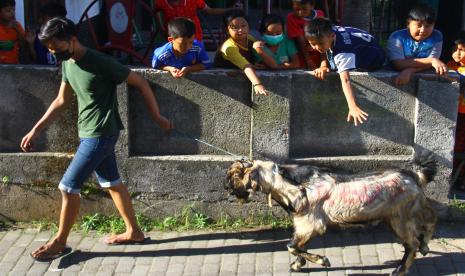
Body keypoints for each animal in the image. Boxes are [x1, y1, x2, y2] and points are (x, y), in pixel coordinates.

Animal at [225, 158, 436, 274]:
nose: (226, 188)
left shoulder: (312, 224)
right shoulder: (303, 226)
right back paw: (425, 246)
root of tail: (415, 177)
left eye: (232, 176)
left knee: (412, 243)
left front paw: (322, 260)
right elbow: (298, 246)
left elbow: (291, 246)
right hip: (401, 216)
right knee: (428, 222)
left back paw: (400, 269)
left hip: (399, 218)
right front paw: (298, 265)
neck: (288, 183)